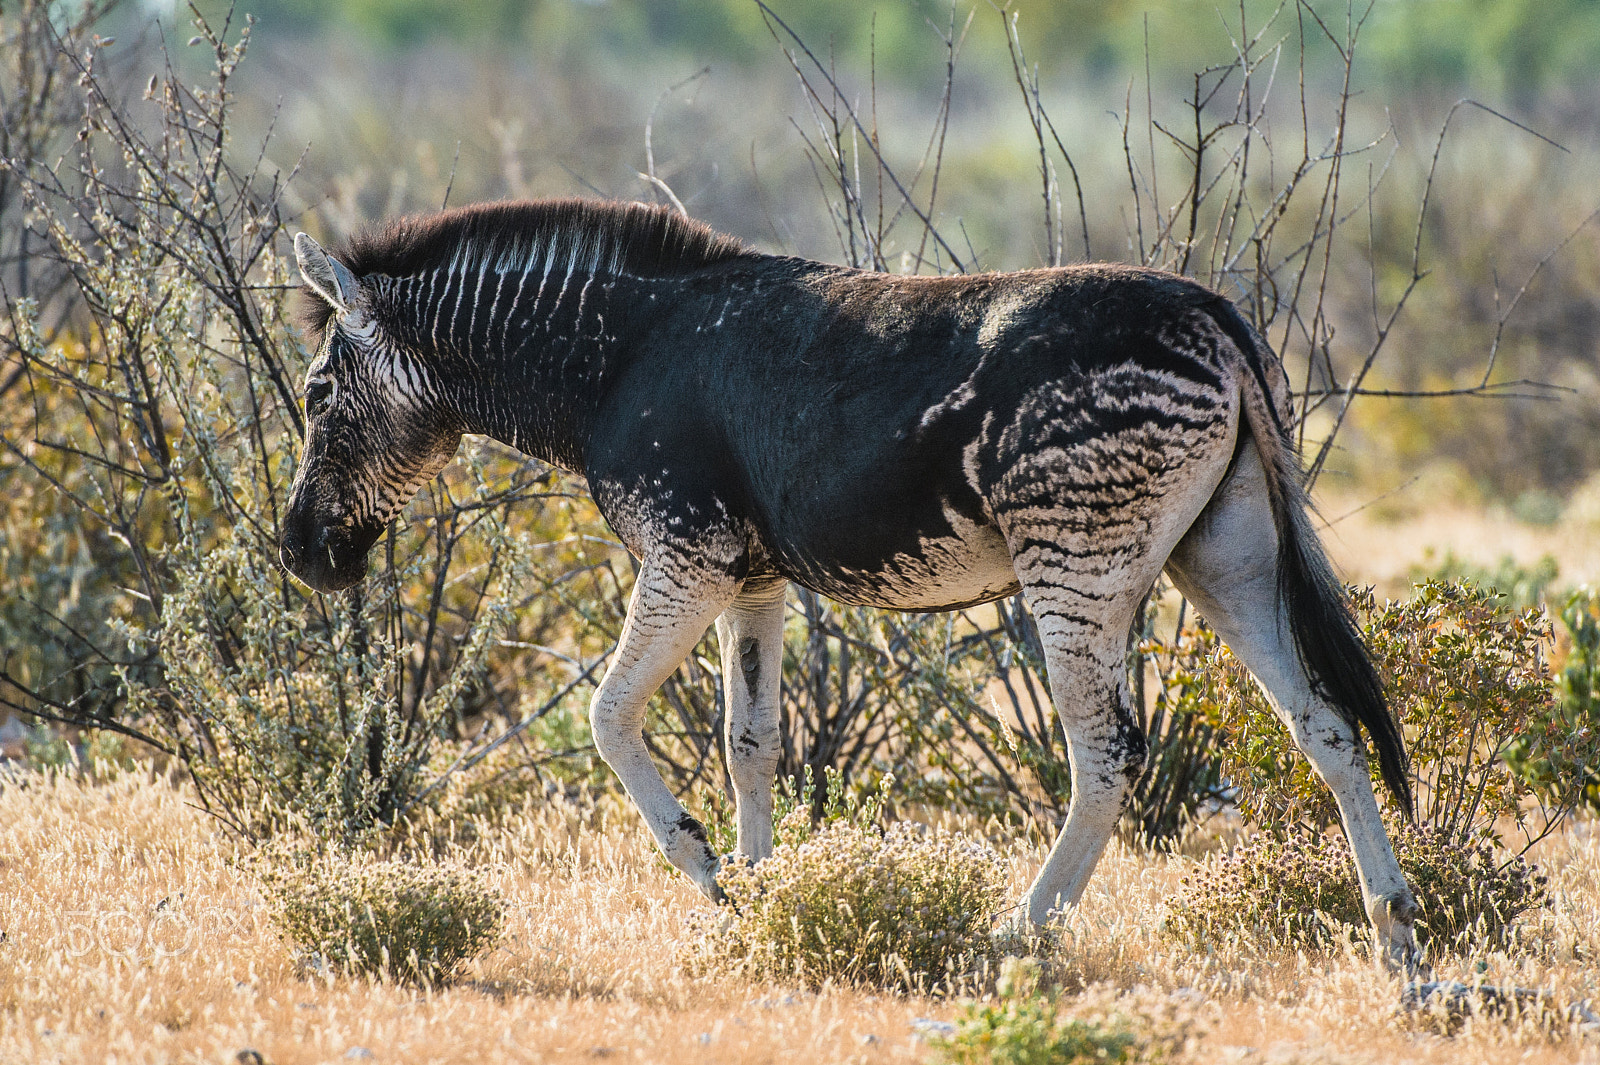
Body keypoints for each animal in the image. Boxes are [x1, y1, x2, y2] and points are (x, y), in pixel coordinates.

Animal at [280, 198, 1420, 969]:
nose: (298, 555)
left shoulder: (686, 553)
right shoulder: (750, 576)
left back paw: (1016, 937)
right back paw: (1397, 939)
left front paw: (710, 875)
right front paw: (761, 899)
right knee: (1324, 725)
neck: (615, 361)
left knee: (1107, 757)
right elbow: (749, 741)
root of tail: (1210, 310)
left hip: (1078, 560)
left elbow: (609, 717)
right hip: (1224, 552)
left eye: (318, 393)